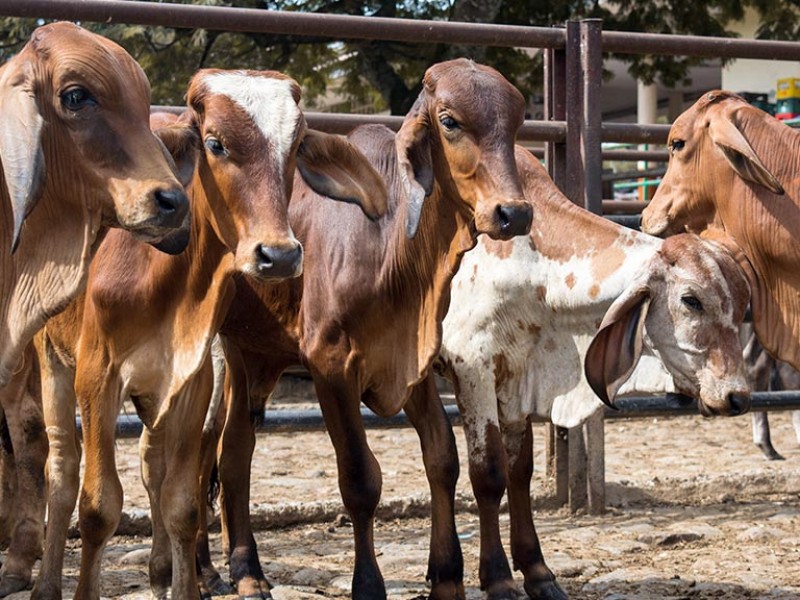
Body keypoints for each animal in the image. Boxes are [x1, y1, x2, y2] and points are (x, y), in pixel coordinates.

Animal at [32, 71, 390, 600]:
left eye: (296, 145)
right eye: (215, 143)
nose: (279, 255)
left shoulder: (192, 375)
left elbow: (181, 500)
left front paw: (184, 584)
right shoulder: (98, 374)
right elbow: (98, 506)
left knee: (151, 464)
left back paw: (161, 572)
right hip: (52, 359)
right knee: (61, 471)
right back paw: (46, 584)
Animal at [209, 57, 536, 600]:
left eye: (515, 125)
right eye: (449, 121)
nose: (514, 212)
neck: (388, 243)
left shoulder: (414, 359)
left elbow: (442, 458)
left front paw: (447, 573)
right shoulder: (330, 366)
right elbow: (361, 480)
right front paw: (368, 583)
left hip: (258, 358)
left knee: (226, 455)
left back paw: (225, 569)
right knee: (215, 452)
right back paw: (240, 571)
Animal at [434, 149, 752, 596]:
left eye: (742, 307)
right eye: (691, 300)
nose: (737, 396)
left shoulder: (517, 380)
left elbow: (520, 473)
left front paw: (538, 571)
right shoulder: (472, 366)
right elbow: (490, 474)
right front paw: (498, 578)